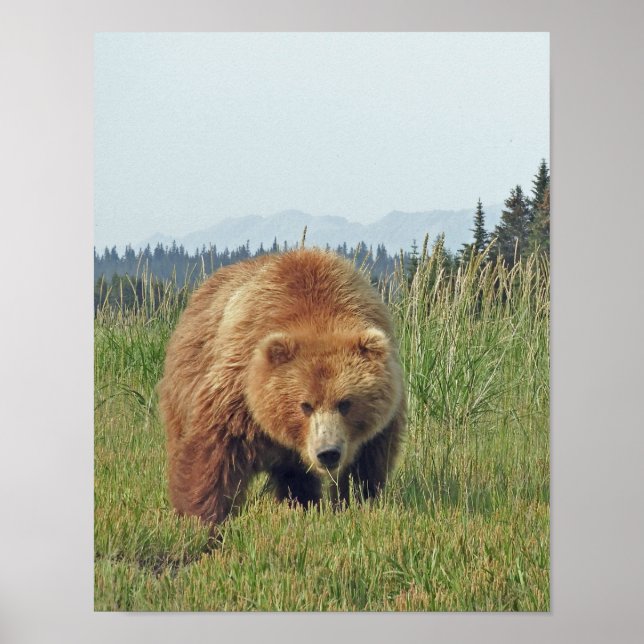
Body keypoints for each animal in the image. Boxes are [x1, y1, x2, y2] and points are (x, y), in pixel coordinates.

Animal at [158, 248, 406, 525]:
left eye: (345, 403)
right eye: (305, 405)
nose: (328, 453)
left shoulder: (380, 421)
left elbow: (366, 466)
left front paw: (357, 502)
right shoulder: (240, 390)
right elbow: (214, 451)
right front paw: (200, 518)